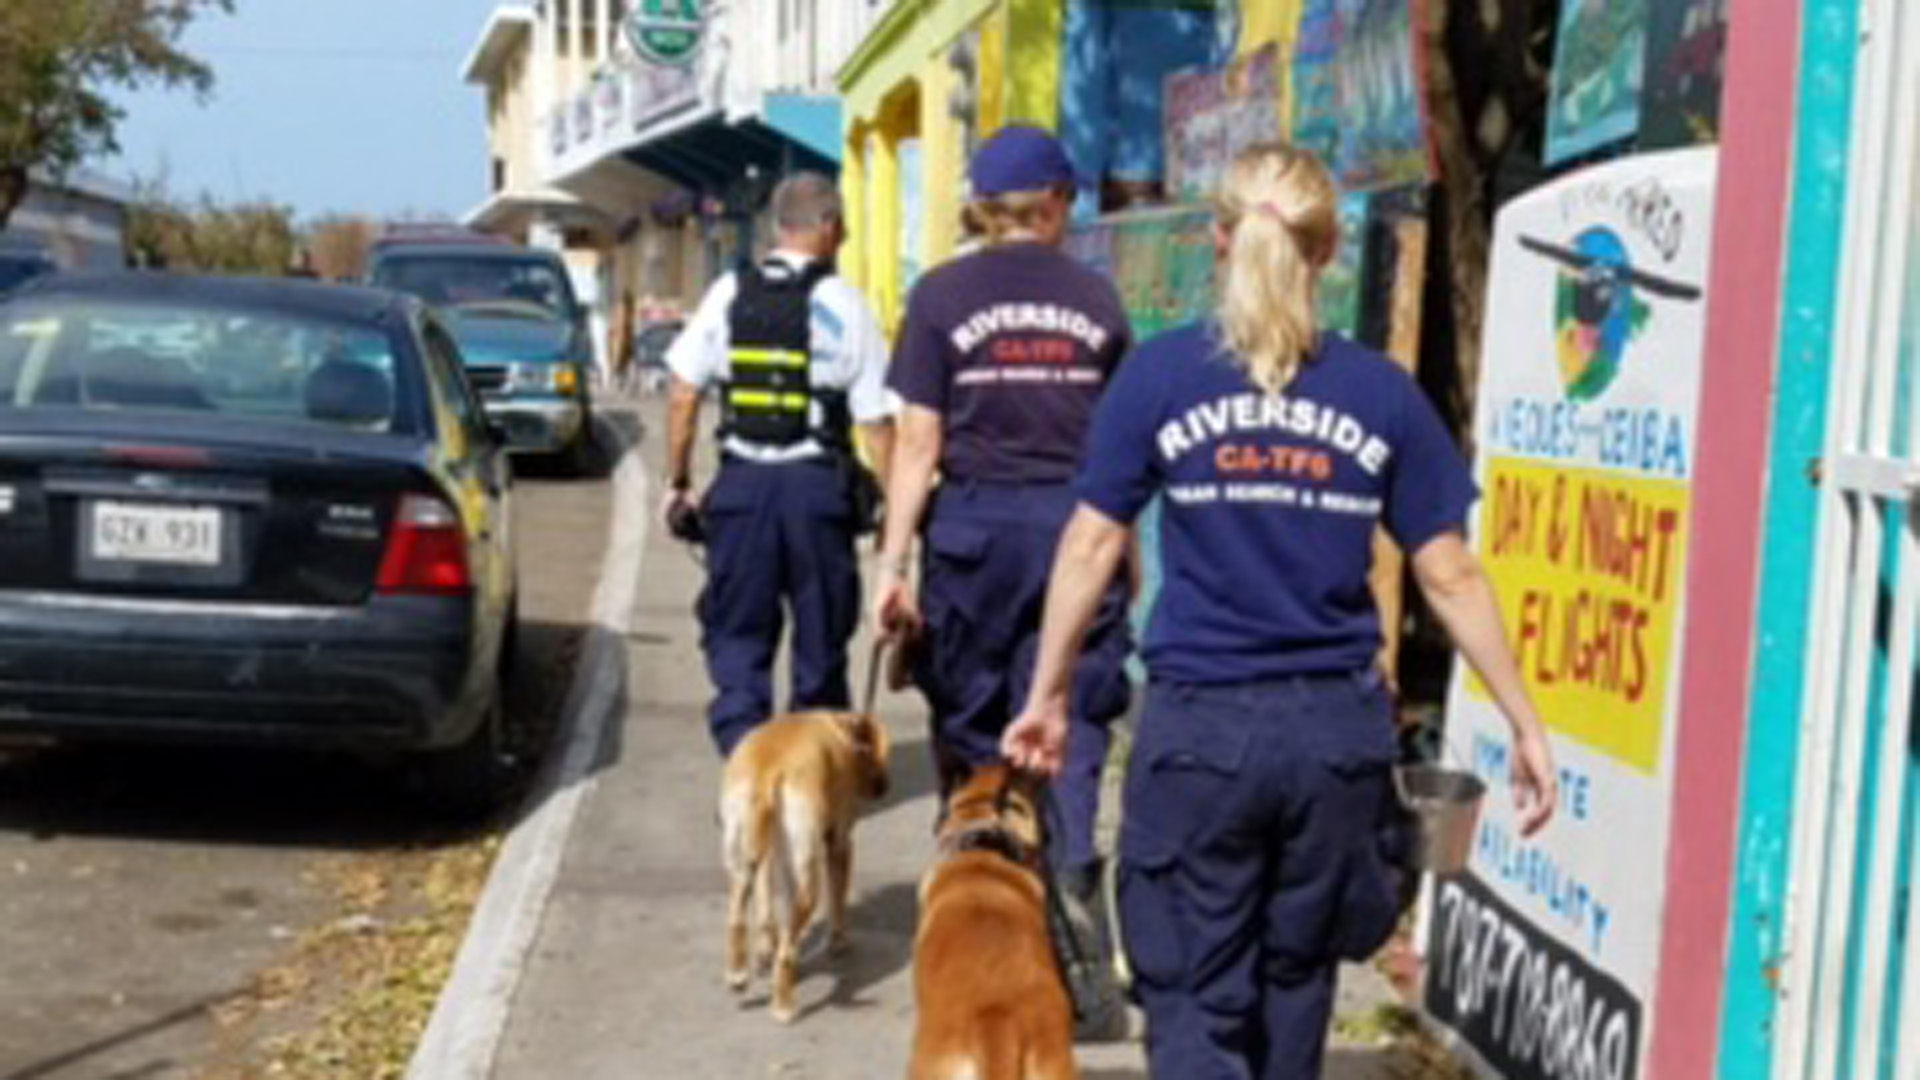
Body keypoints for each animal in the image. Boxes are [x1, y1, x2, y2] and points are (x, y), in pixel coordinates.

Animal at [721, 707, 890, 1014]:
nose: (885, 787)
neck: (842, 729)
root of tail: (769, 771)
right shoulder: (839, 843)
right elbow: (838, 902)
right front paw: (838, 942)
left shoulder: (771, 855)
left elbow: (768, 908)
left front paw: (766, 948)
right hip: (810, 883)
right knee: (785, 954)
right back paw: (783, 1008)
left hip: (741, 860)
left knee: (738, 916)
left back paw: (738, 974)